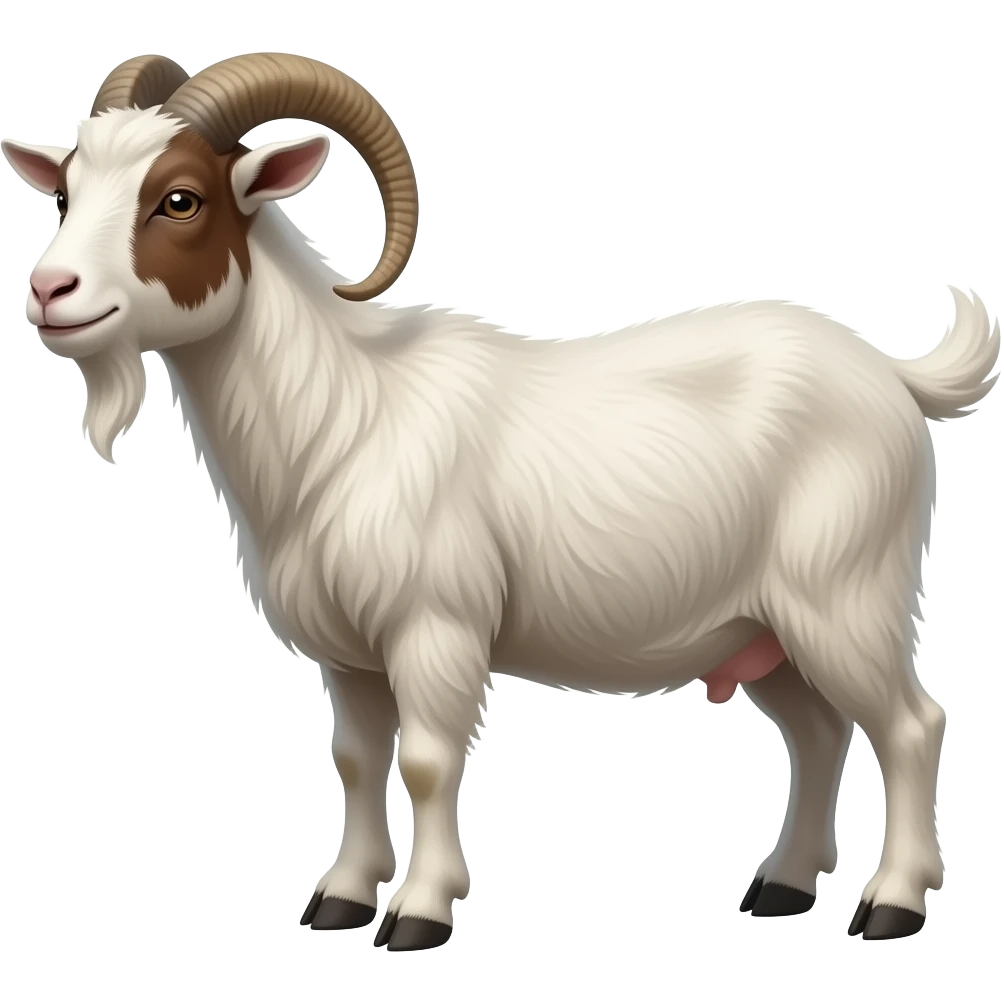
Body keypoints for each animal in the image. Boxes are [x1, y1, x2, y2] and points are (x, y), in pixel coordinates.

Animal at [3, 52, 995, 950]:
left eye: (179, 199)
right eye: (69, 187)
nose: (50, 291)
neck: (343, 417)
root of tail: (894, 377)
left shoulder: (433, 627)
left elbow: (429, 762)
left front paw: (418, 913)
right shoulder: (348, 654)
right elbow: (357, 761)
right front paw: (340, 899)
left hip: (845, 594)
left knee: (910, 726)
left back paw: (892, 905)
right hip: (764, 626)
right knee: (821, 733)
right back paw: (783, 886)